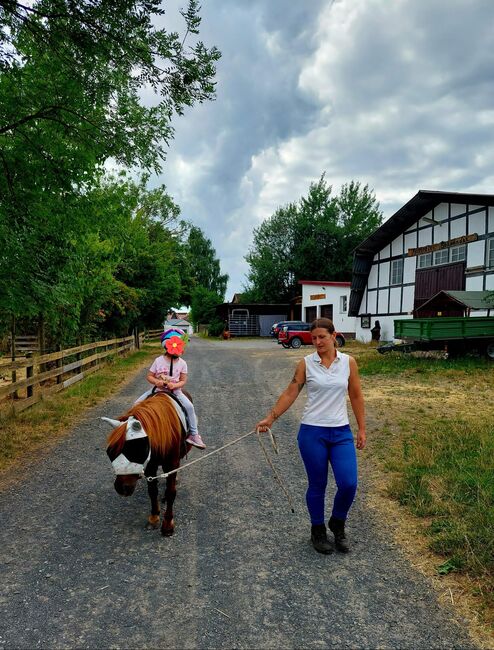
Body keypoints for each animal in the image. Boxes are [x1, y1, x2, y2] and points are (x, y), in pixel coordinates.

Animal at [103, 392, 188, 536]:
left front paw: (167, 525)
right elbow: (152, 491)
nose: (121, 488)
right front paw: (154, 517)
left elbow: (171, 492)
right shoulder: (149, 466)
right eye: (110, 452)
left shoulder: (172, 463)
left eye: (137, 449)